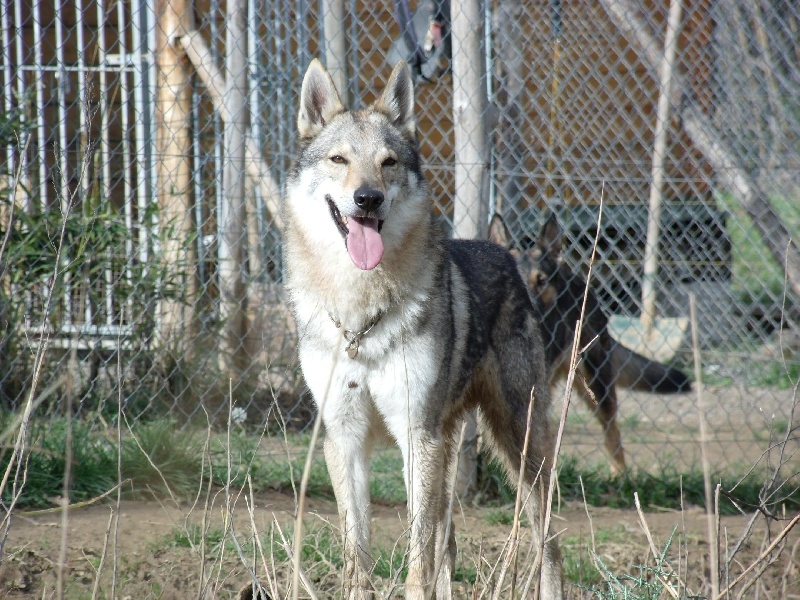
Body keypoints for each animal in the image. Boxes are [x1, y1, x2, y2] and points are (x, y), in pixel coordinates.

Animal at [282, 59, 564, 596]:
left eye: (389, 162)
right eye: (338, 159)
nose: (367, 199)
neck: (360, 316)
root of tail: (505, 253)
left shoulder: (416, 435)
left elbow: (418, 557)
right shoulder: (344, 438)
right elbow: (358, 552)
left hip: (517, 446)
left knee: (548, 540)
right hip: (451, 446)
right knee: (449, 545)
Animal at [488, 213, 688, 476]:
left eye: (541, 280)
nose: (532, 311)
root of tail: (577, 279)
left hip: (597, 386)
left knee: (612, 433)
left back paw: (620, 476)